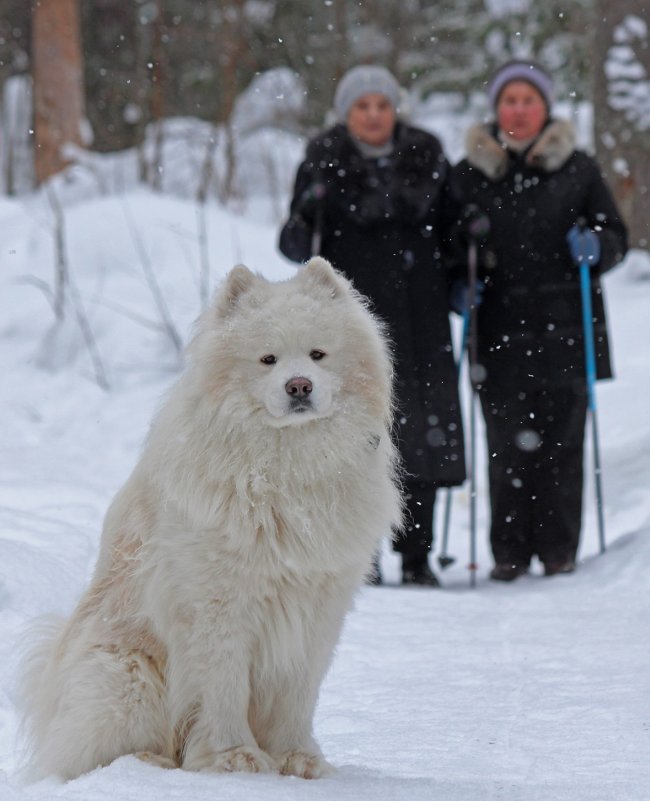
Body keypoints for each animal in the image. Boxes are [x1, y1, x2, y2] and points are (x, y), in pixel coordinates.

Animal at [20, 258, 400, 780]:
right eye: (268, 360)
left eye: (318, 355)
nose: (299, 386)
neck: (285, 469)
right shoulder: (218, 604)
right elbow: (222, 688)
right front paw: (233, 758)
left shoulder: (316, 607)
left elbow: (298, 693)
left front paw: (298, 759)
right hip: (128, 678)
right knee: (92, 756)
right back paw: (151, 761)